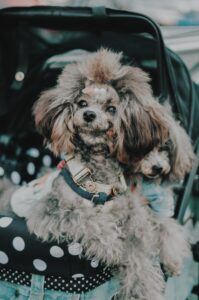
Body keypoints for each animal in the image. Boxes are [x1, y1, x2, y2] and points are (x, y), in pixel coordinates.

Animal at [0, 48, 192, 298]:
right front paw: (111, 245)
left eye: (112, 108)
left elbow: (141, 260)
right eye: (81, 103)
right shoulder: (51, 212)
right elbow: (87, 219)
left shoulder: (135, 222)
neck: (96, 176)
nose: (89, 114)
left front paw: (147, 287)